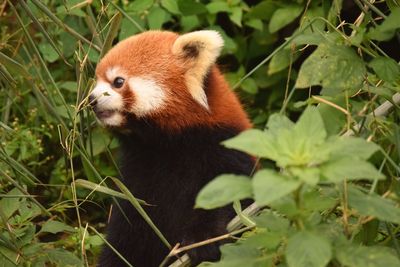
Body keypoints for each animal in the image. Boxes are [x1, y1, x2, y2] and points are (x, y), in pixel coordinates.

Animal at [90, 30, 253, 267]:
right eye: (96, 80)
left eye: (117, 81)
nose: (91, 100)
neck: (170, 143)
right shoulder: (138, 174)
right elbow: (127, 233)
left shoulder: (224, 149)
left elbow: (230, 197)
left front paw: (204, 238)